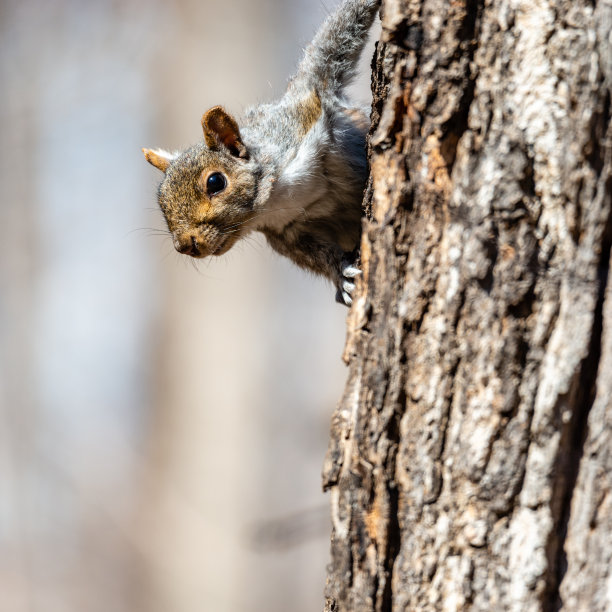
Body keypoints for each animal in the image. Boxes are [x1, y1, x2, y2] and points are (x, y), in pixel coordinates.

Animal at [145, 0, 382, 306]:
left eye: (215, 182)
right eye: (161, 201)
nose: (186, 245)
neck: (276, 195)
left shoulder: (308, 100)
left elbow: (333, 43)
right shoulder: (287, 232)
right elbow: (316, 257)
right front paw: (341, 274)